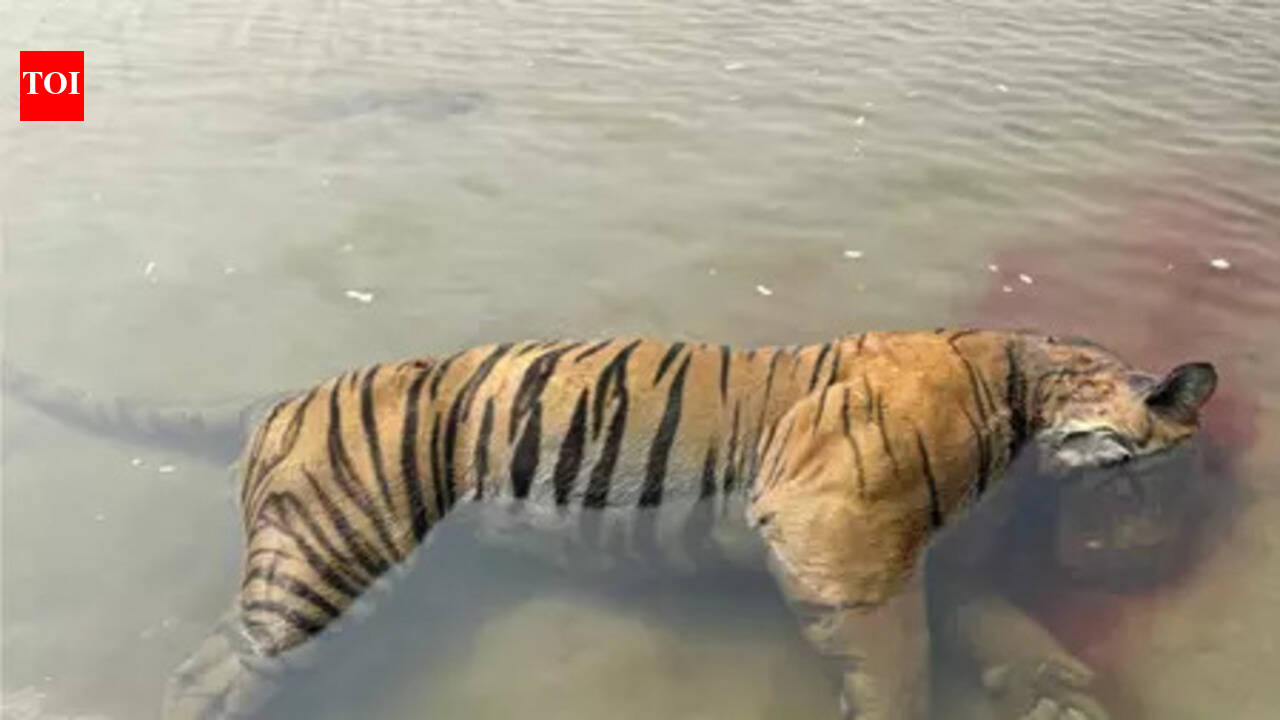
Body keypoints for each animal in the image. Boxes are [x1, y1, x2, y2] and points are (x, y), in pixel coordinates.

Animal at [4, 329, 1216, 720]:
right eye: (1155, 483)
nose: (1156, 556)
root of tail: (280, 394)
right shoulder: (835, 534)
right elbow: (893, 660)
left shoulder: (944, 566)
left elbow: (1007, 636)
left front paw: (1062, 700)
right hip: (321, 563)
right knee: (207, 676)